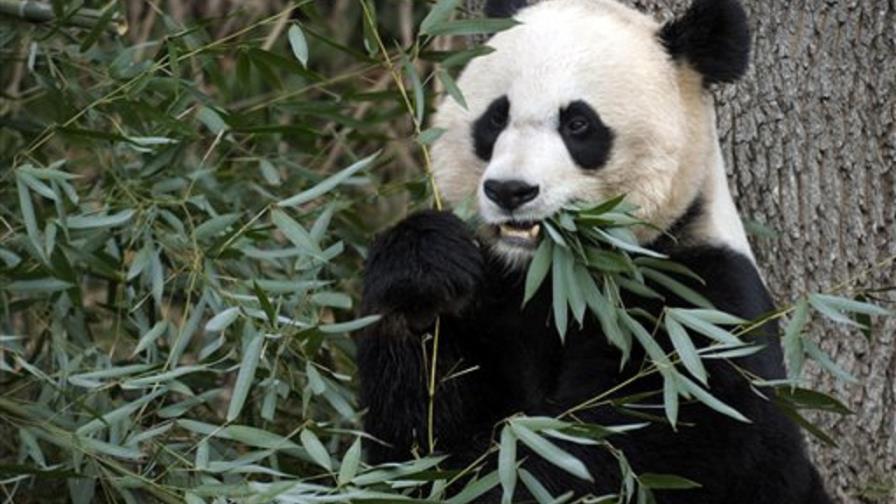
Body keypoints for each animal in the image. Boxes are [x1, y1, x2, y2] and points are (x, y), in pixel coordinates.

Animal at [357, 0, 833, 502]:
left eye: (578, 124)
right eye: (496, 118)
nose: (510, 190)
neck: (553, 277)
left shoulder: (696, 310)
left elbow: (624, 447)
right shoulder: (495, 298)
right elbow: (417, 433)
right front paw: (425, 274)